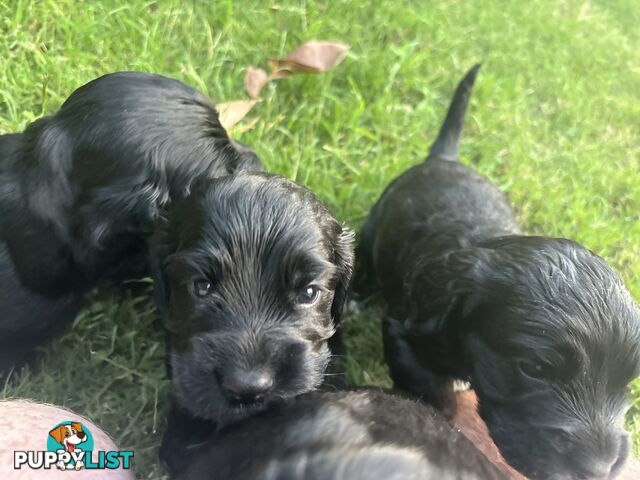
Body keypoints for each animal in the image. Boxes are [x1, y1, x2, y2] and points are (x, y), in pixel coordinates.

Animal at [358, 64, 640, 480]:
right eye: (532, 368)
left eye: (630, 384)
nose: (600, 469)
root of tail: (445, 159)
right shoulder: (404, 327)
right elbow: (431, 391)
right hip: (373, 222)